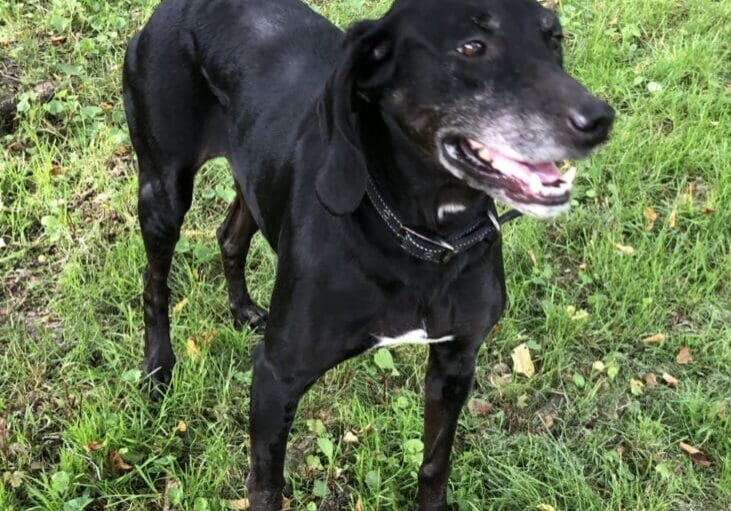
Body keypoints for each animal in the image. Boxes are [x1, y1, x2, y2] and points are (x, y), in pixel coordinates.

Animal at [123, 0, 616, 508]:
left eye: (553, 38)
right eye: (471, 46)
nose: (598, 120)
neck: (422, 239)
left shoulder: (455, 362)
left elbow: (434, 464)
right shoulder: (276, 378)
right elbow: (266, 486)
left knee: (229, 236)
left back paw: (242, 309)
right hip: (163, 189)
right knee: (154, 282)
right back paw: (158, 368)